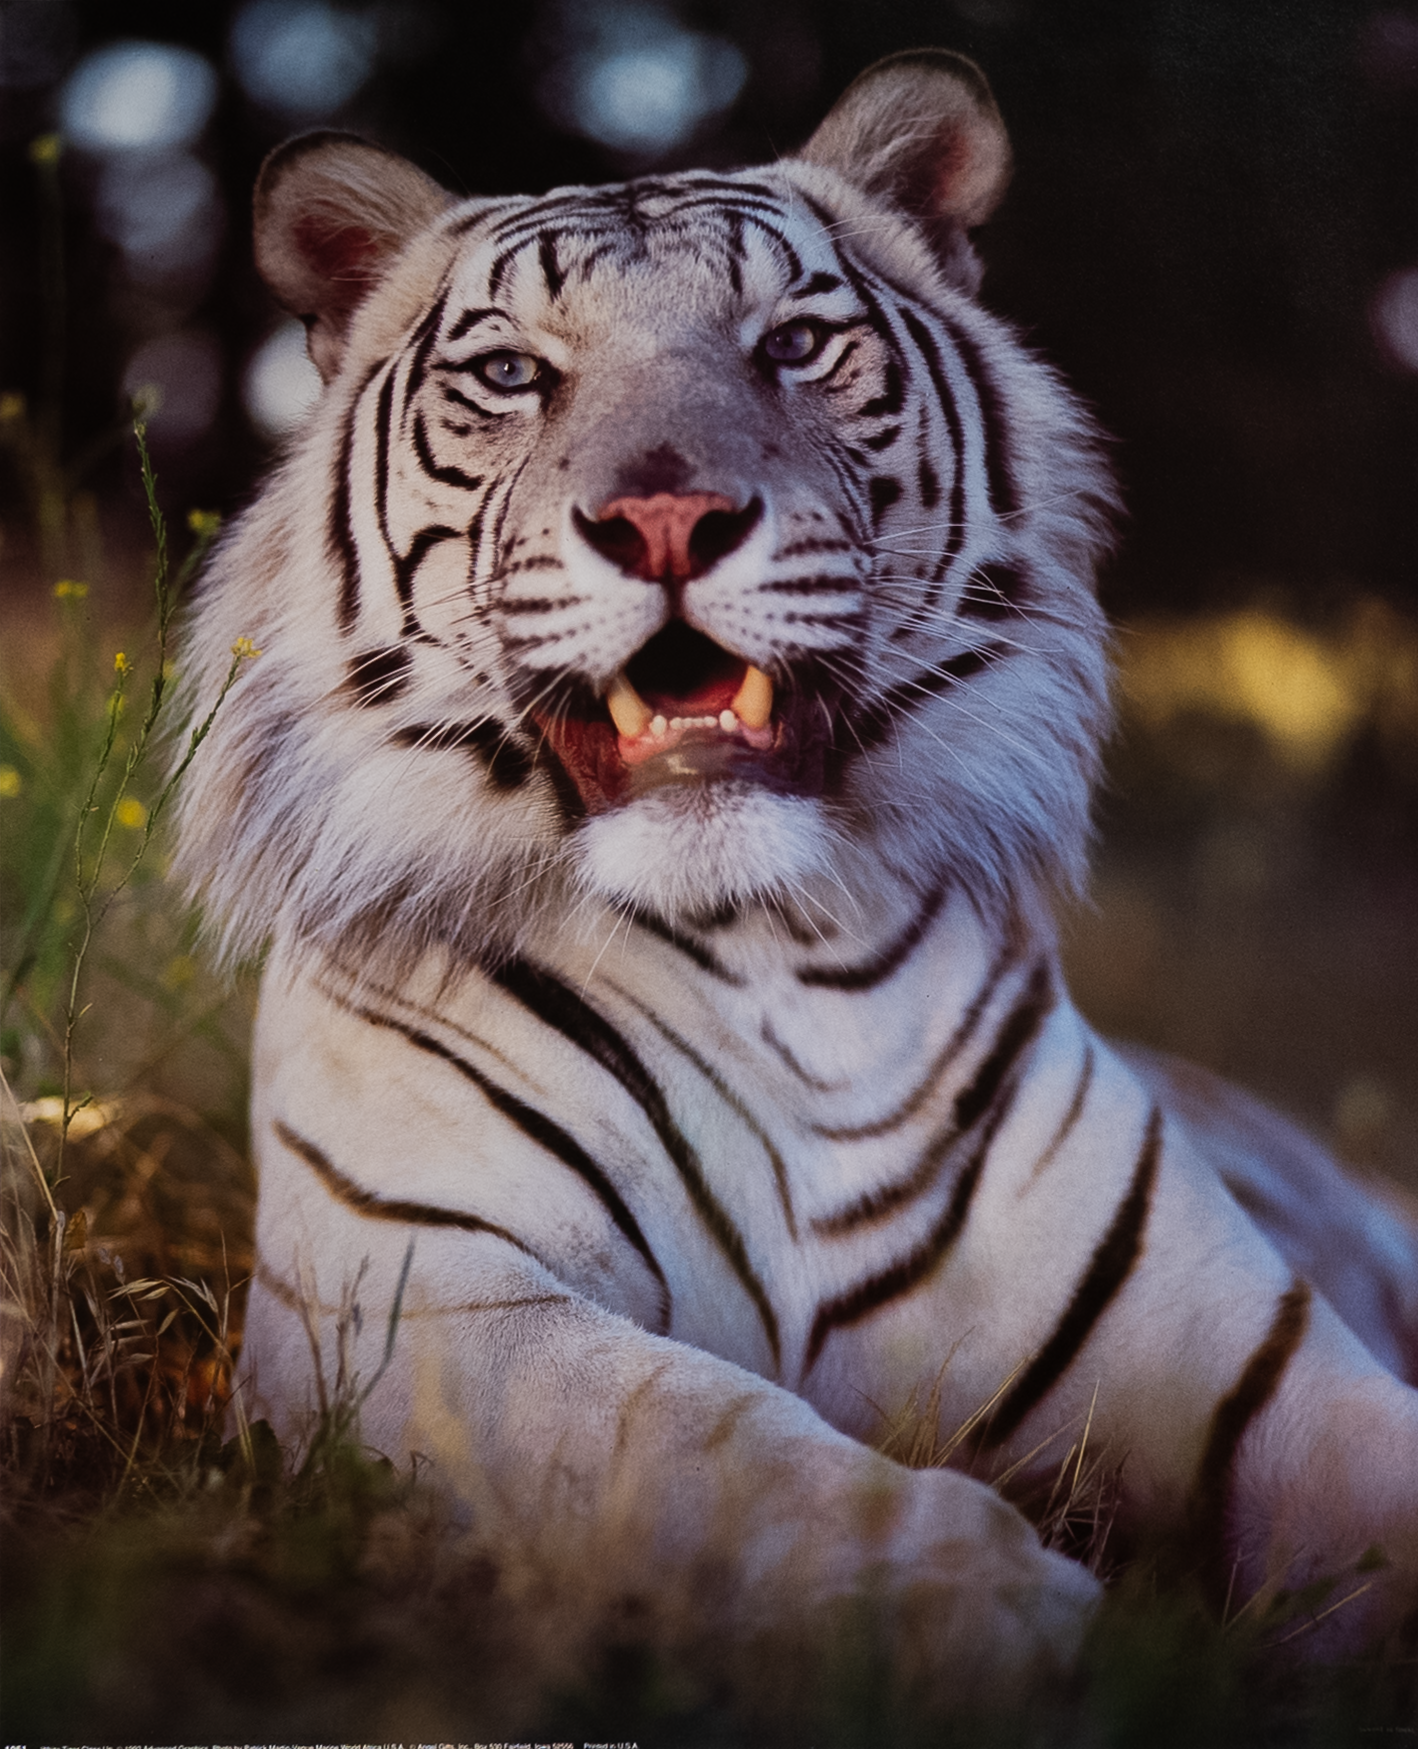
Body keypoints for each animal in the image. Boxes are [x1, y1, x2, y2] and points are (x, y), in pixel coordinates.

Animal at [172, 49, 1418, 1699]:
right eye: (511, 374)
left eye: (795, 345)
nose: (664, 519)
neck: (762, 951)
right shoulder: (427, 1295)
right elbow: (703, 1438)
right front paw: (984, 1612)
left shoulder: (1241, 1350)